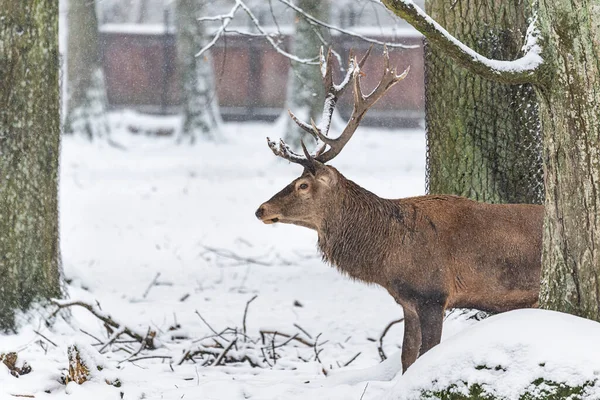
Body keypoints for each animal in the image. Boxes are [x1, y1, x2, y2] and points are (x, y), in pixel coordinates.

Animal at [253, 47, 544, 376]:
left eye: (303, 185)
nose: (261, 209)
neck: (390, 256)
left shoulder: (433, 295)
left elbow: (428, 353)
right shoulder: (407, 301)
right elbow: (407, 357)